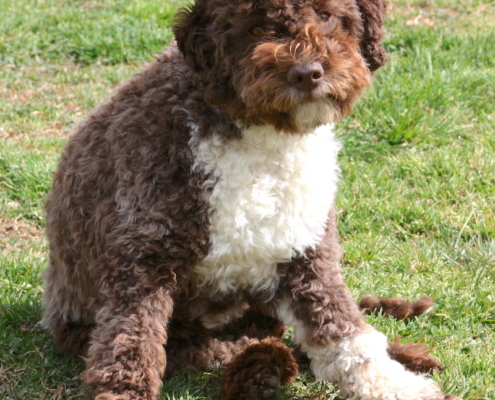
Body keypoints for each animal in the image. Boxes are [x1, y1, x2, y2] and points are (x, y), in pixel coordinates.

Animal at [41, 0, 458, 400]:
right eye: (255, 28)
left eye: (326, 14)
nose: (307, 73)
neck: (264, 137)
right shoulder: (142, 260)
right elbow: (130, 347)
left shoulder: (304, 250)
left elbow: (344, 330)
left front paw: (397, 385)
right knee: (222, 347)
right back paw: (259, 370)